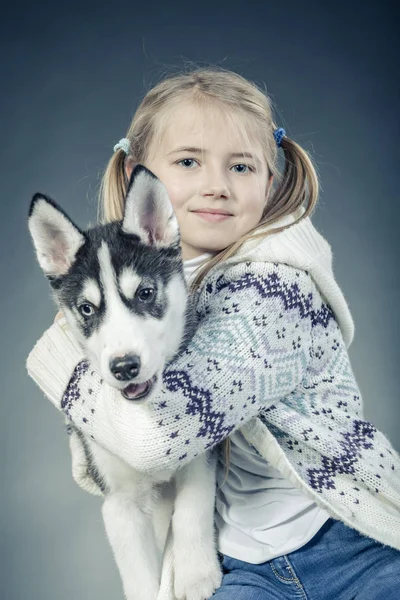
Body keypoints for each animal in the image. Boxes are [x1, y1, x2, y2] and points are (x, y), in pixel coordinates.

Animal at [28, 165, 222, 600]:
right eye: (86, 309)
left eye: (145, 293)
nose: (124, 367)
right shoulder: (118, 503)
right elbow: (138, 577)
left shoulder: (200, 452)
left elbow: (192, 511)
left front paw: (196, 575)